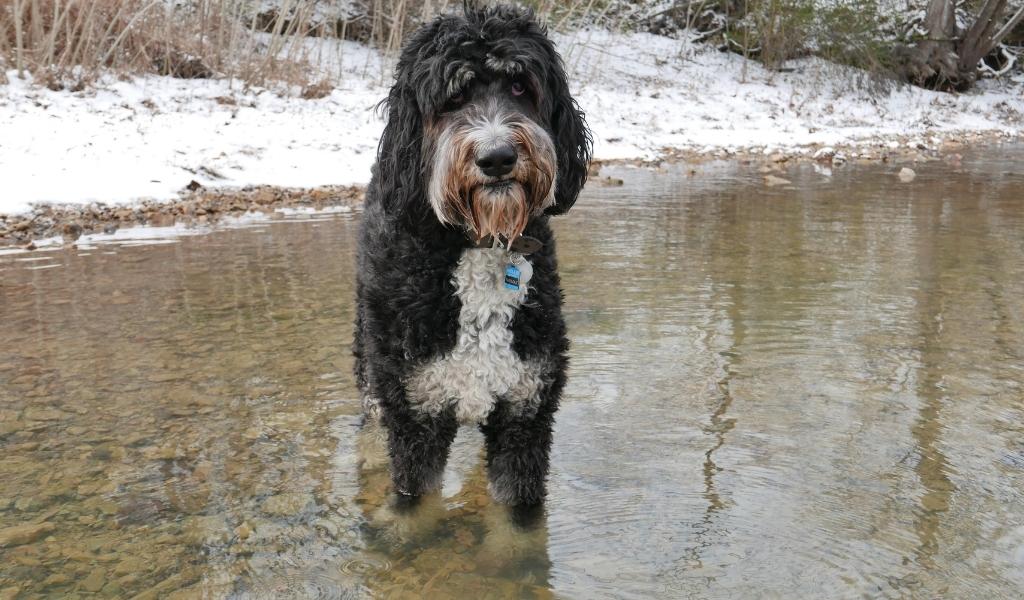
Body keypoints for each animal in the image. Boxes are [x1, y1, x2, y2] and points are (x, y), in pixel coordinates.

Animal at [352, 4, 593, 509]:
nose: (497, 157)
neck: (480, 242)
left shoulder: (525, 412)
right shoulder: (416, 416)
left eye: (520, 86)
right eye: (452, 96)